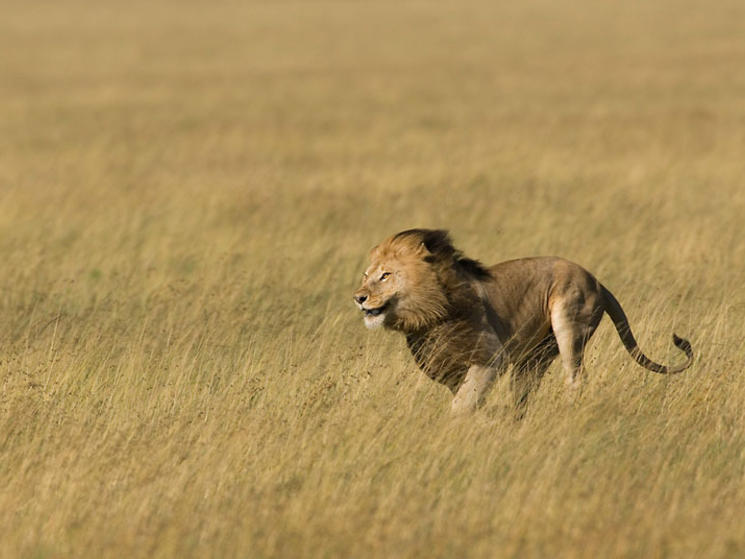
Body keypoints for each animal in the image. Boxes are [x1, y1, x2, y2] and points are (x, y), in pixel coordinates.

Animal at [353, 229, 693, 414]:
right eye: (366, 276)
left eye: (385, 275)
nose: (358, 297)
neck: (428, 318)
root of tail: (596, 280)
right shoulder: (449, 371)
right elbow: (466, 397)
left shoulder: (492, 357)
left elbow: (463, 403)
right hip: (534, 356)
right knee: (525, 393)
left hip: (569, 321)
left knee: (576, 377)